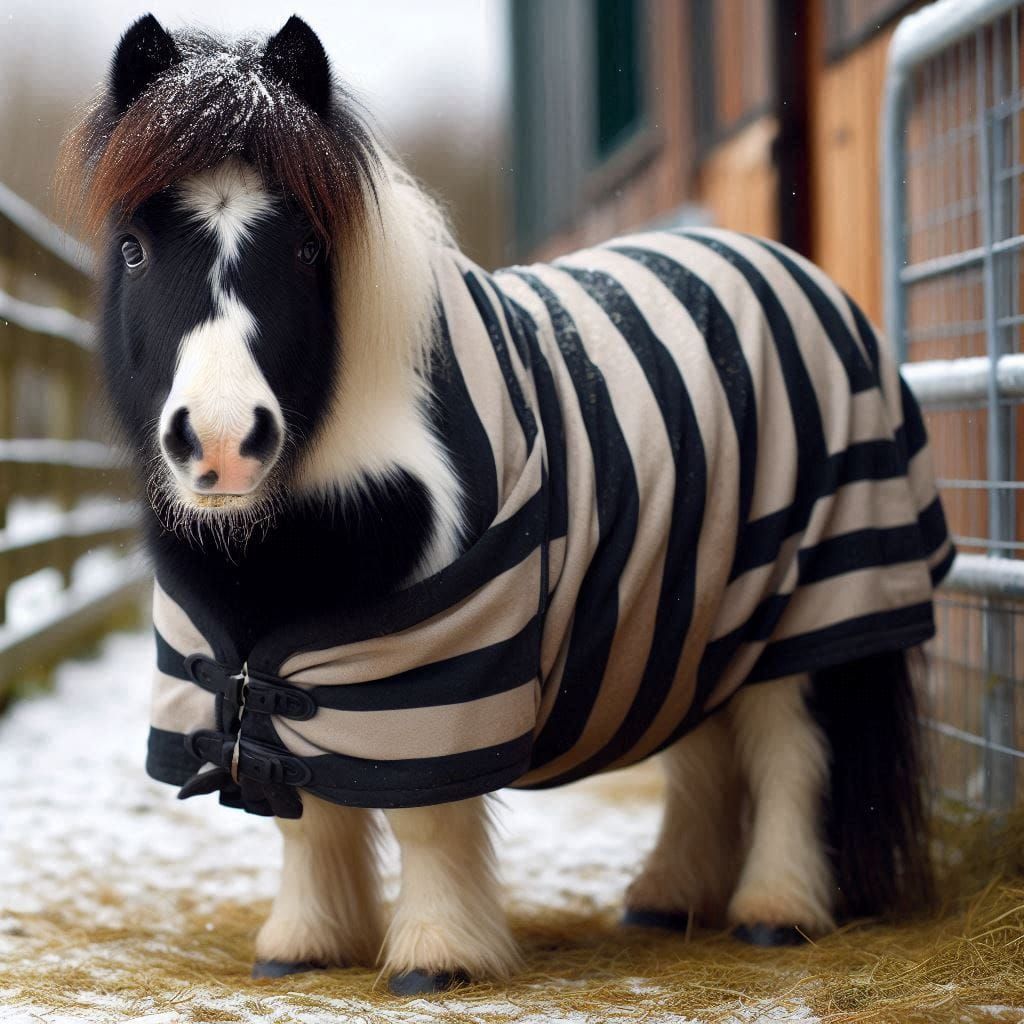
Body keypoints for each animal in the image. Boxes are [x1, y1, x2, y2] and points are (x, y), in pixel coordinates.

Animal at [58, 14, 953, 995]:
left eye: (305, 249)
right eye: (135, 248)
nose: (221, 439)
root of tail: (798, 273)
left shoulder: (438, 673)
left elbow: (426, 817)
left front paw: (437, 956)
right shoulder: (267, 672)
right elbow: (311, 814)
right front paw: (303, 945)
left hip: (808, 604)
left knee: (790, 753)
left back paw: (777, 910)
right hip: (696, 611)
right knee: (705, 758)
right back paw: (669, 898)